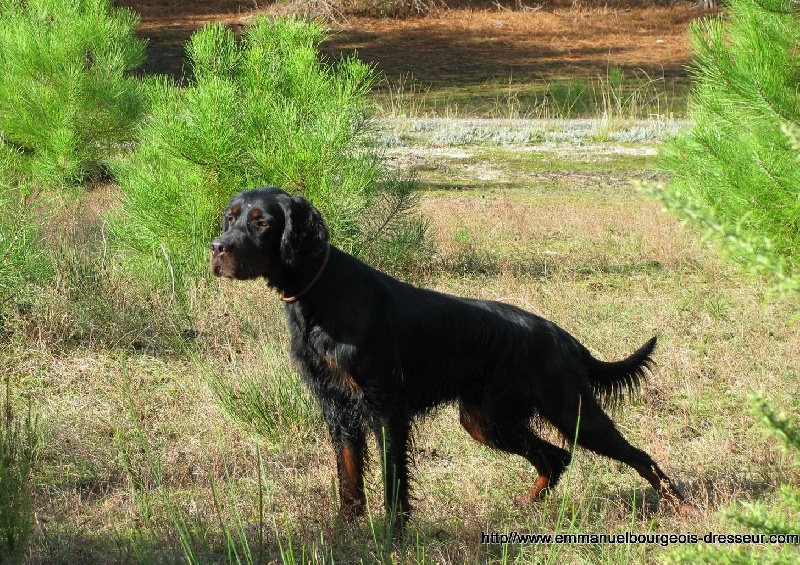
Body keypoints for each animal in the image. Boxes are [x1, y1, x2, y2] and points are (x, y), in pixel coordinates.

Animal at [209, 186, 692, 524]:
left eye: (262, 223)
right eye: (230, 218)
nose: (217, 247)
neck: (320, 294)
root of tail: (562, 335)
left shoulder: (385, 408)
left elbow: (393, 483)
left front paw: (394, 537)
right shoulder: (336, 407)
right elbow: (349, 479)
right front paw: (347, 530)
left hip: (570, 410)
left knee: (637, 455)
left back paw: (679, 506)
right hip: (485, 420)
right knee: (556, 457)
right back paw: (525, 505)